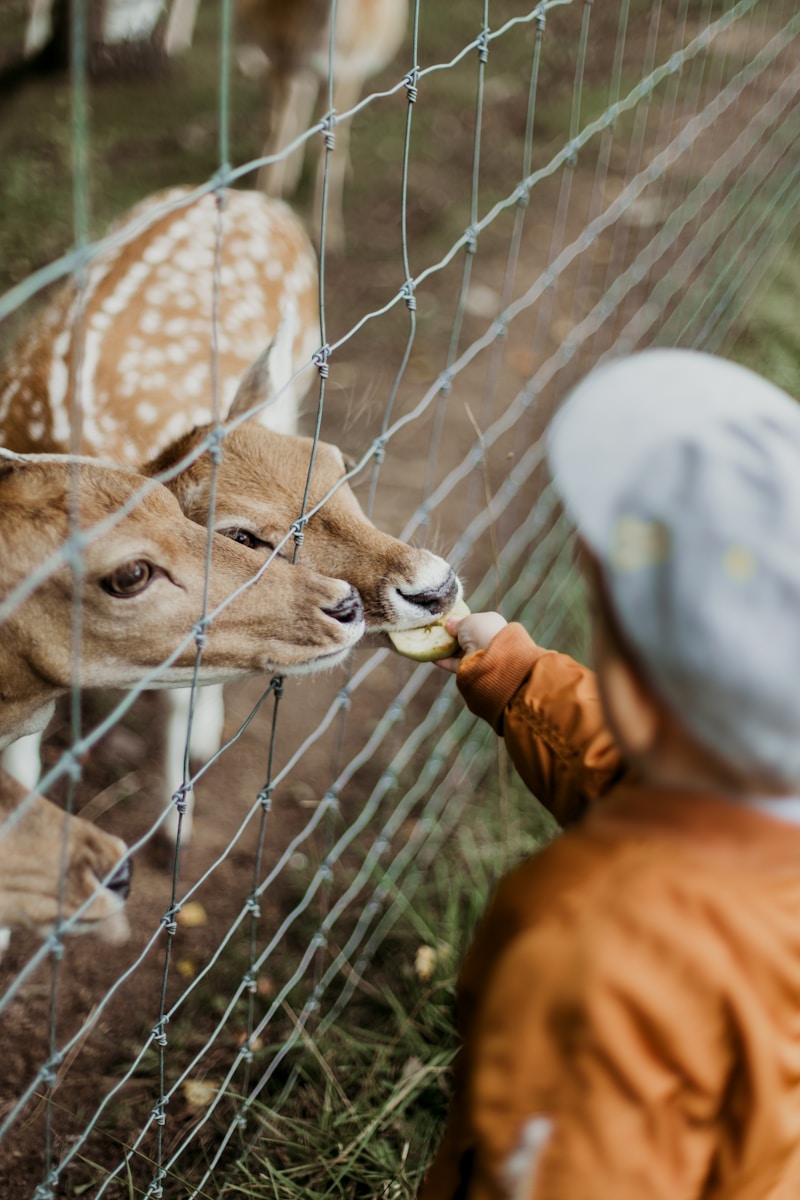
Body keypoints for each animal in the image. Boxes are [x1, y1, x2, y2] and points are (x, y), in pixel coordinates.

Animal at [165, 0, 410, 248]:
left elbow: (333, 139)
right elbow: (278, 129)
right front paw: (267, 200)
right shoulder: (285, 61)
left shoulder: (347, 69)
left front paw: (328, 234)